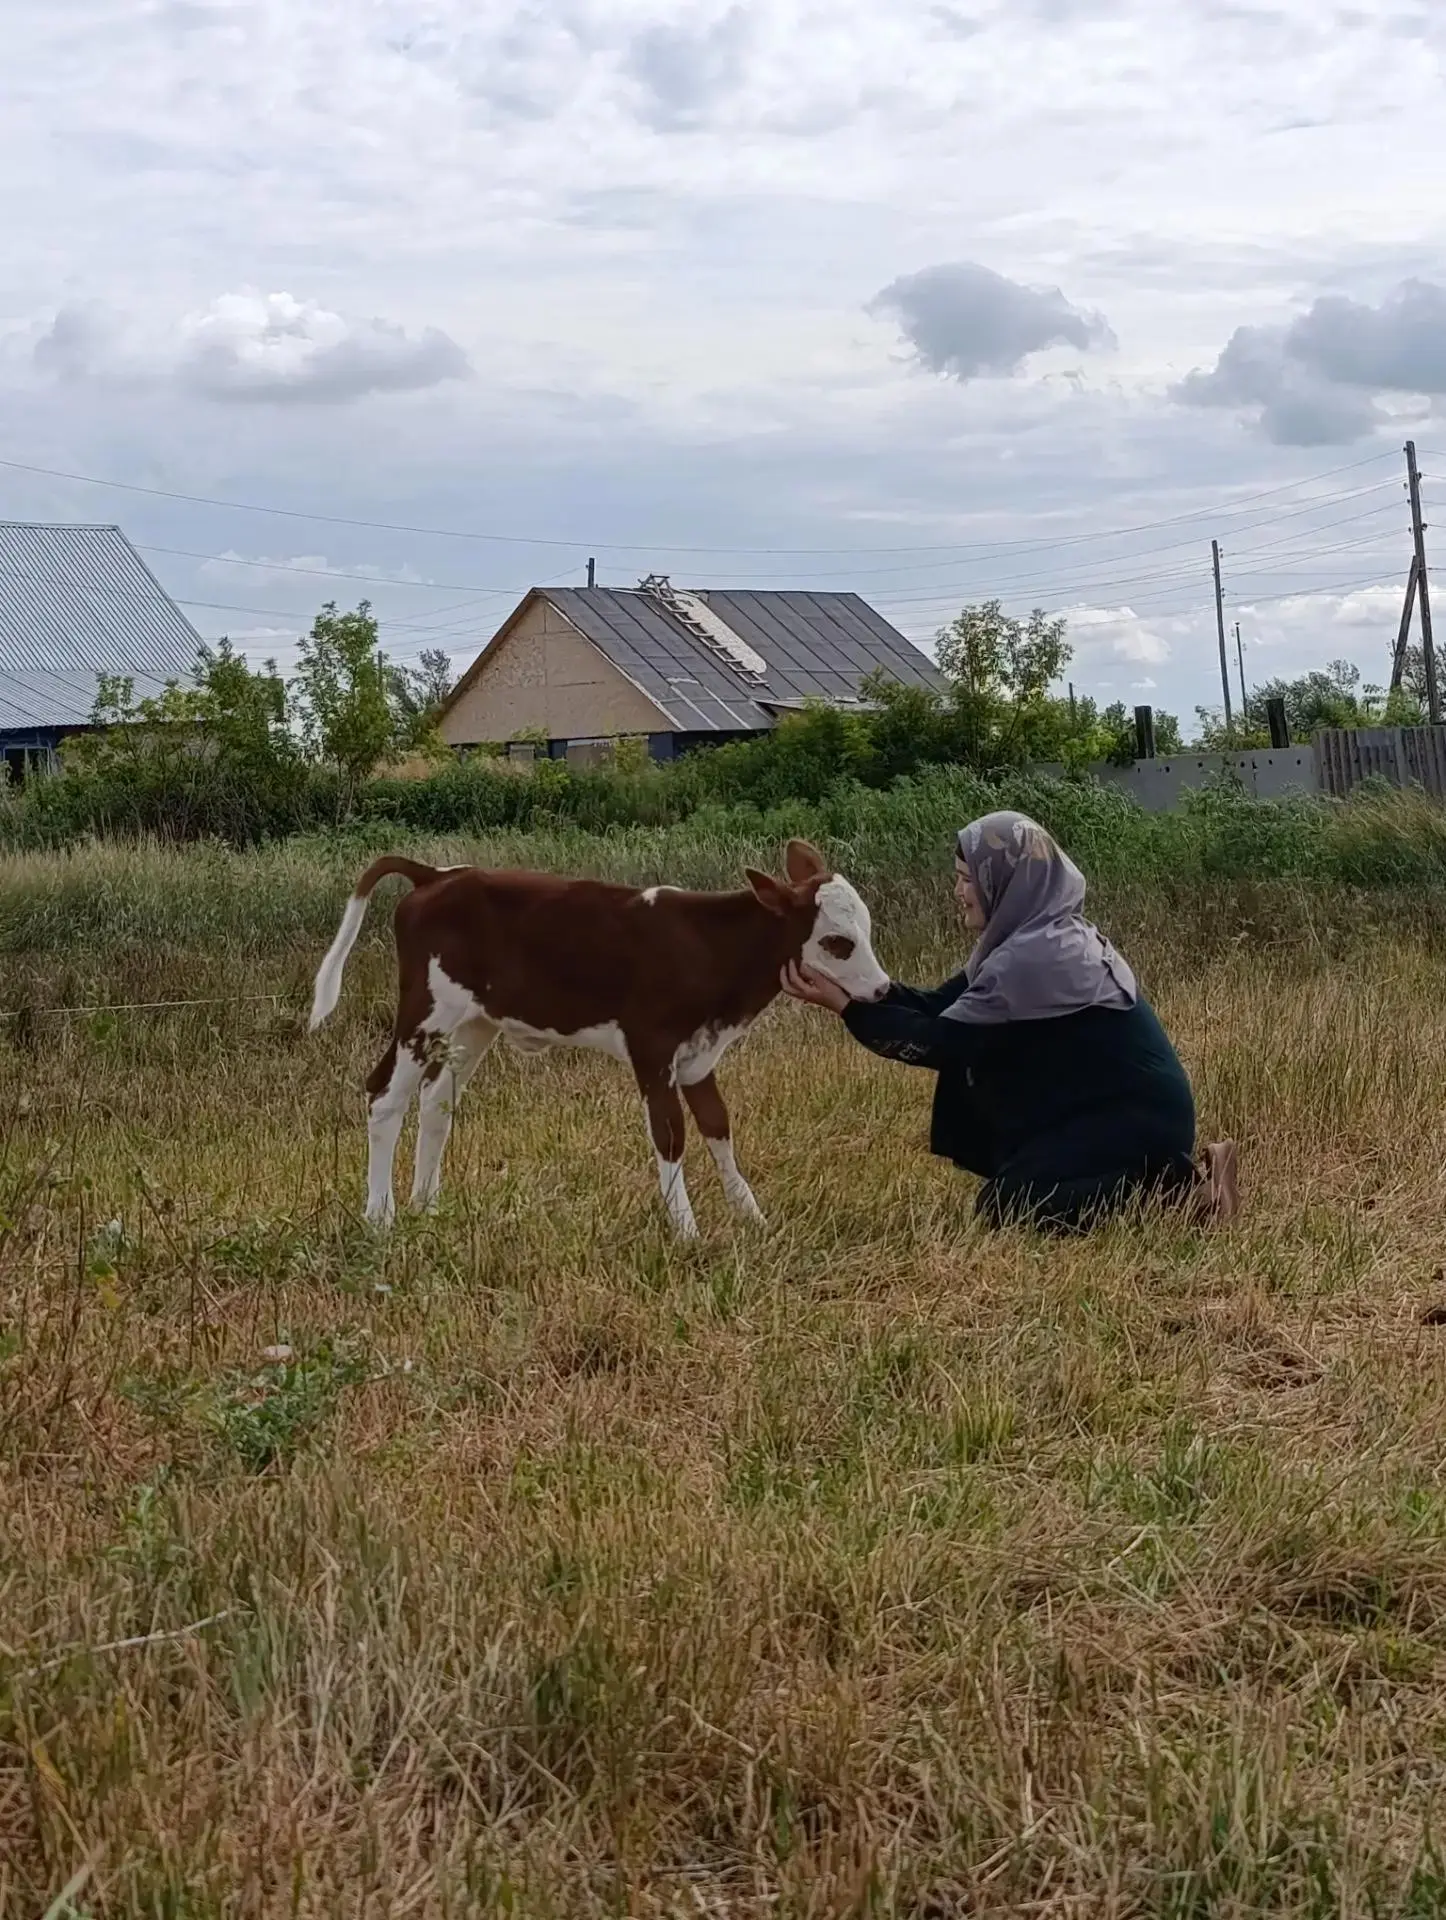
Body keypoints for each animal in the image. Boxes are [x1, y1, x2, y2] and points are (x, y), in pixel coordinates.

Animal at [308, 839, 889, 1236]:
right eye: (837, 942)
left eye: (865, 928)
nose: (883, 989)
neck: (707, 945)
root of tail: (436, 875)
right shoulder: (651, 1048)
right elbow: (671, 1134)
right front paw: (687, 1232)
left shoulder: (699, 1056)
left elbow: (718, 1127)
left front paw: (753, 1218)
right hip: (425, 1013)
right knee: (385, 1096)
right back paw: (380, 1217)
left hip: (474, 1024)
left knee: (436, 1101)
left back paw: (427, 1206)